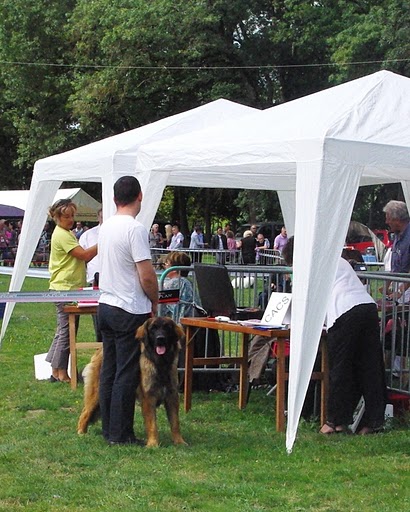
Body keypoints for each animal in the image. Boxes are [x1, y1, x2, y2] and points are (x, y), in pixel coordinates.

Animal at [77, 318, 187, 446]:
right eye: (153, 329)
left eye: (167, 328)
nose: (160, 338)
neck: (160, 363)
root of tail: (100, 350)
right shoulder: (148, 398)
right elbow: (152, 424)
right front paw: (153, 444)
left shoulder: (172, 396)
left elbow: (175, 422)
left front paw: (179, 441)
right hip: (95, 394)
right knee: (85, 412)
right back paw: (81, 433)